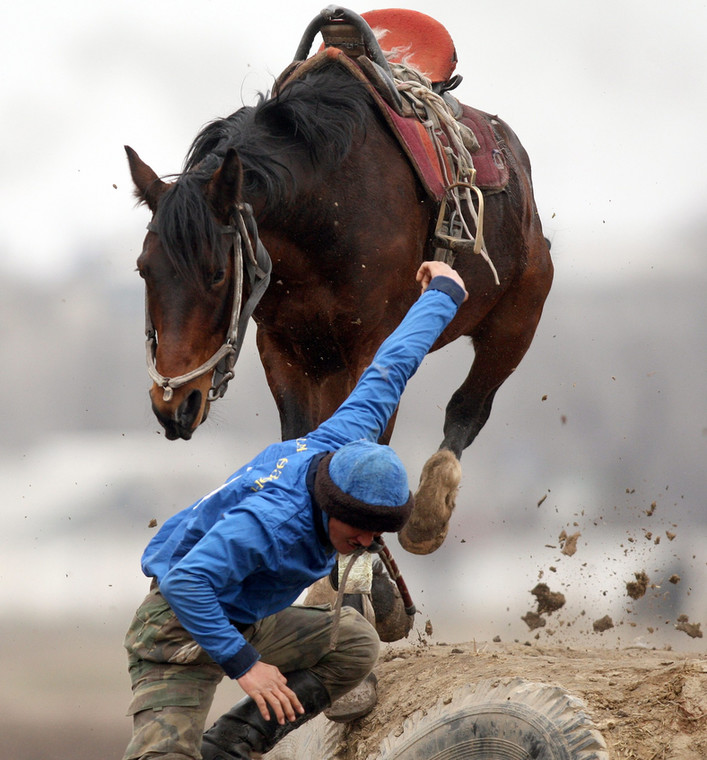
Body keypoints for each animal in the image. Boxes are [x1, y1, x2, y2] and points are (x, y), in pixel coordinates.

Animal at [129, 10, 560, 552]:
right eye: (144, 270)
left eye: (217, 274)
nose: (173, 404)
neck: (326, 207)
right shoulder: (285, 350)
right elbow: (302, 439)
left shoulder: (373, 348)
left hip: (517, 319)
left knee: (469, 408)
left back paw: (429, 513)